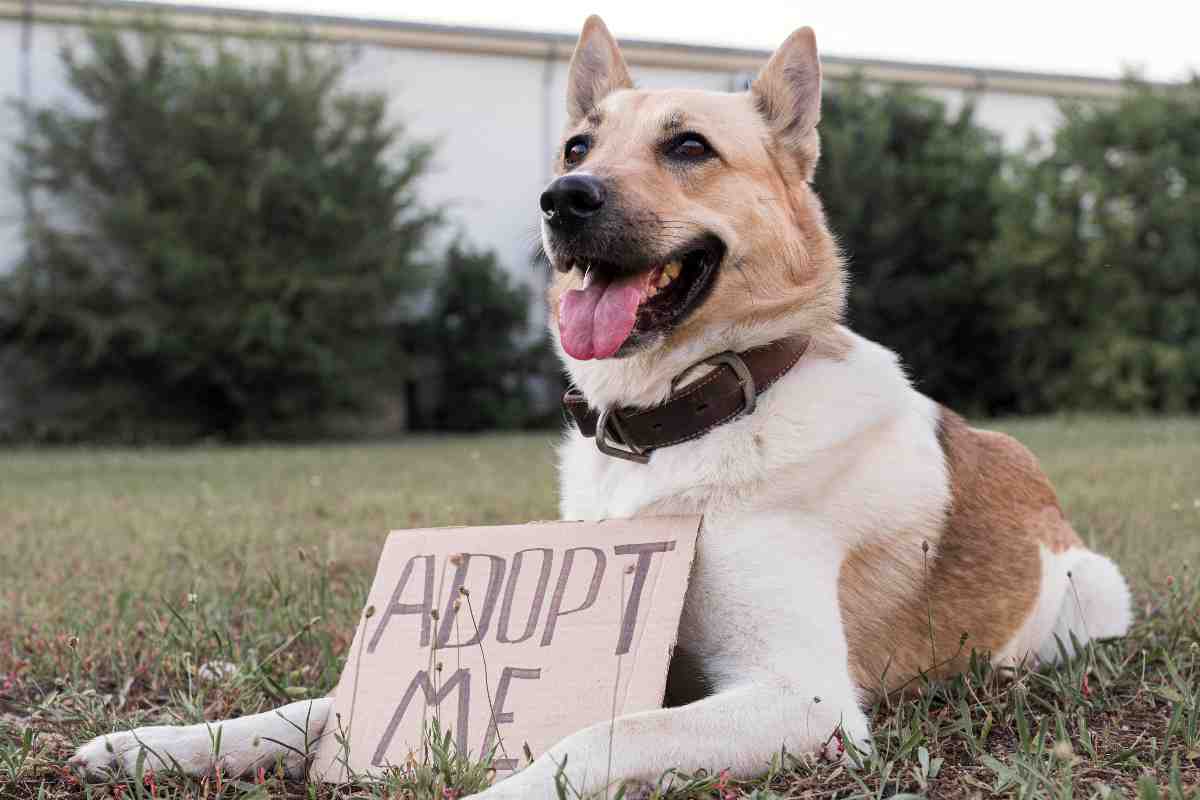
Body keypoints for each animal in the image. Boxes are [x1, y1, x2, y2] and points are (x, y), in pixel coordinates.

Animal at [70, 15, 1128, 796]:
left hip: (1088, 597)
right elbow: (315, 708)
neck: (673, 429)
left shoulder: (803, 698)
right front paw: (164, 743)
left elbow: (600, 734)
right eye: (577, 144)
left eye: (689, 147)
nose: (561, 197)